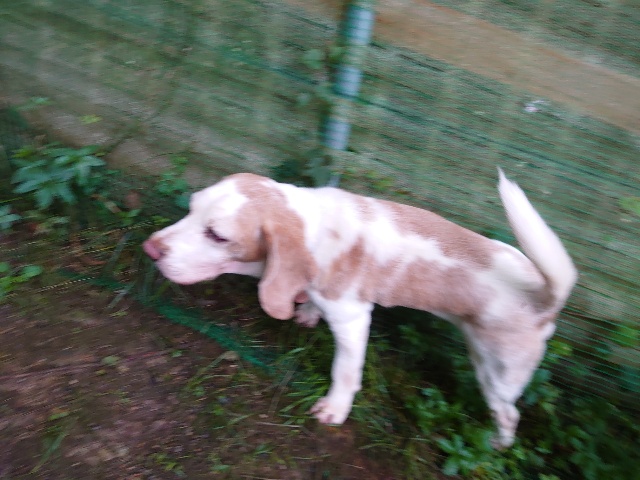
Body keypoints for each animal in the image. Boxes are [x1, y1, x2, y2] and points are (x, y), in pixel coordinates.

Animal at [143, 169, 577, 448]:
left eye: (217, 235)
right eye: (191, 208)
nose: (150, 249)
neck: (314, 227)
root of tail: (545, 296)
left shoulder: (352, 318)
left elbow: (345, 371)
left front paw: (334, 410)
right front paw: (306, 313)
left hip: (497, 373)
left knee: (509, 414)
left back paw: (498, 443)